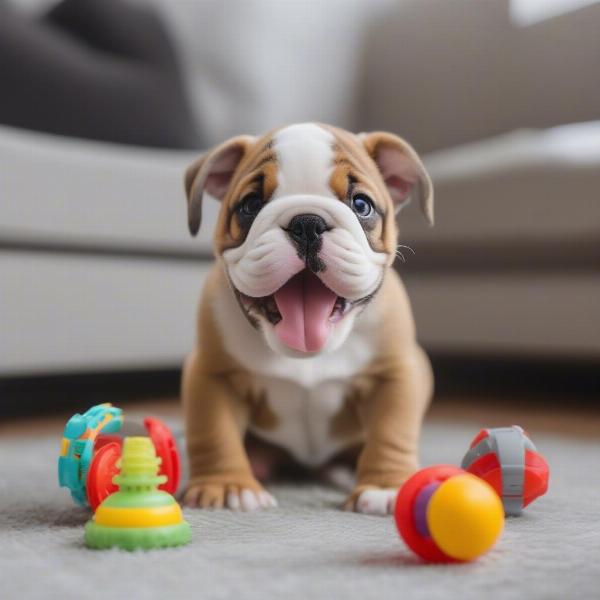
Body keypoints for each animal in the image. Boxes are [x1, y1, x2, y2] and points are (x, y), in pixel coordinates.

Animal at [180, 123, 434, 516]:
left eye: (361, 205)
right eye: (250, 205)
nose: (307, 223)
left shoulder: (395, 374)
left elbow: (392, 430)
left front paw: (385, 486)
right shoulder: (213, 374)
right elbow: (214, 431)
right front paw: (227, 486)